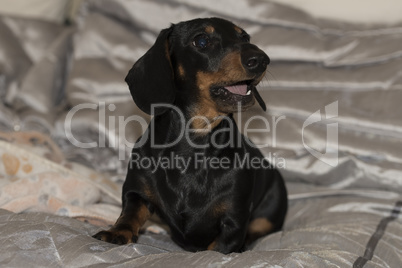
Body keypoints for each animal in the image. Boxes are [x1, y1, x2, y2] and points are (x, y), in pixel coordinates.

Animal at [92, 17, 288, 253]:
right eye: (201, 40)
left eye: (245, 37)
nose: (261, 59)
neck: (194, 147)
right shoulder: (136, 192)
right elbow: (130, 213)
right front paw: (117, 232)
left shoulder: (234, 221)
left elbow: (218, 248)